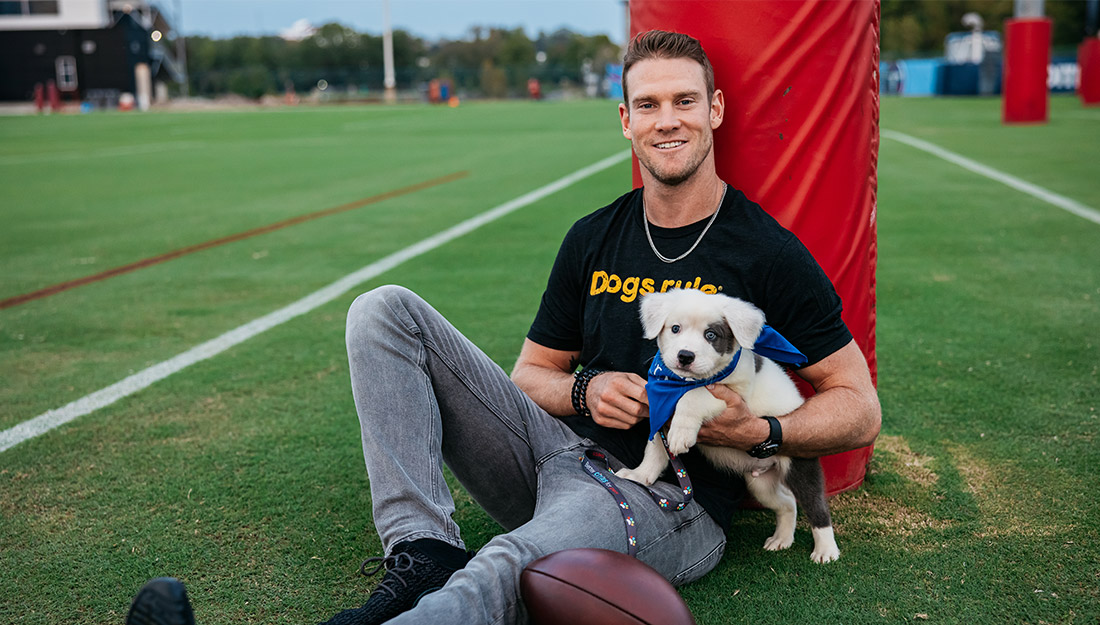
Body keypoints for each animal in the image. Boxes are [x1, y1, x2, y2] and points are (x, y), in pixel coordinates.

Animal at [616, 290, 836, 563]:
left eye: (711, 335)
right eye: (675, 328)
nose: (685, 356)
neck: (680, 383)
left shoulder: (733, 396)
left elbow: (693, 396)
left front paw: (681, 433)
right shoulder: (661, 409)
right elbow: (655, 449)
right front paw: (640, 475)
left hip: (799, 465)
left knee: (816, 506)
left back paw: (826, 550)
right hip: (760, 484)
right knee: (787, 503)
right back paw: (782, 539)